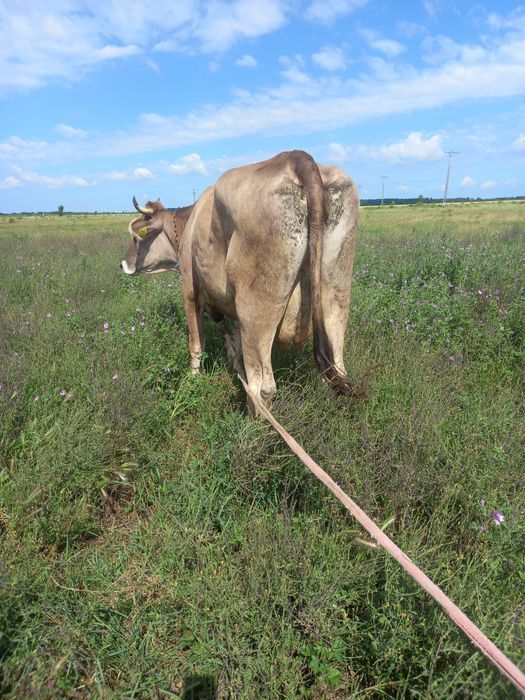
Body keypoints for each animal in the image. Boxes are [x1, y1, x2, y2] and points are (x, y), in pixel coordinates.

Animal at [120, 150, 360, 415]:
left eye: (137, 237)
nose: (123, 264)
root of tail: (295, 158)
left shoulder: (190, 291)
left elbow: (196, 345)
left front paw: (191, 381)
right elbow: (233, 343)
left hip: (256, 311)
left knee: (262, 387)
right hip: (336, 293)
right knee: (335, 365)